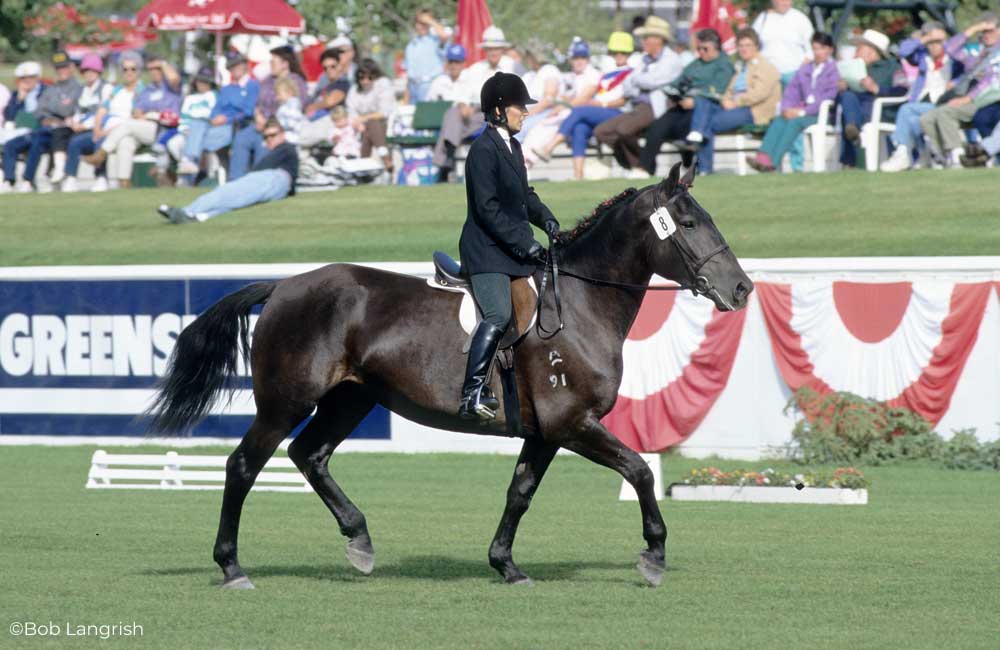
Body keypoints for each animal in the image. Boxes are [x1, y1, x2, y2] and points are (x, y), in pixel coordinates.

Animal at [146, 162, 752, 588]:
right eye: (690, 224)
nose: (742, 289)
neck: (580, 304)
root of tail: (284, 286)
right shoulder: (573, 424)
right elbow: (640, 472)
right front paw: (654, 555)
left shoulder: (546, 432)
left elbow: (519, 492)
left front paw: (505, 564)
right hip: (284, 402)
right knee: (244, 466)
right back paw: (232, 568)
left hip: (351, 399)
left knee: (308, 455)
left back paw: (359, 541)